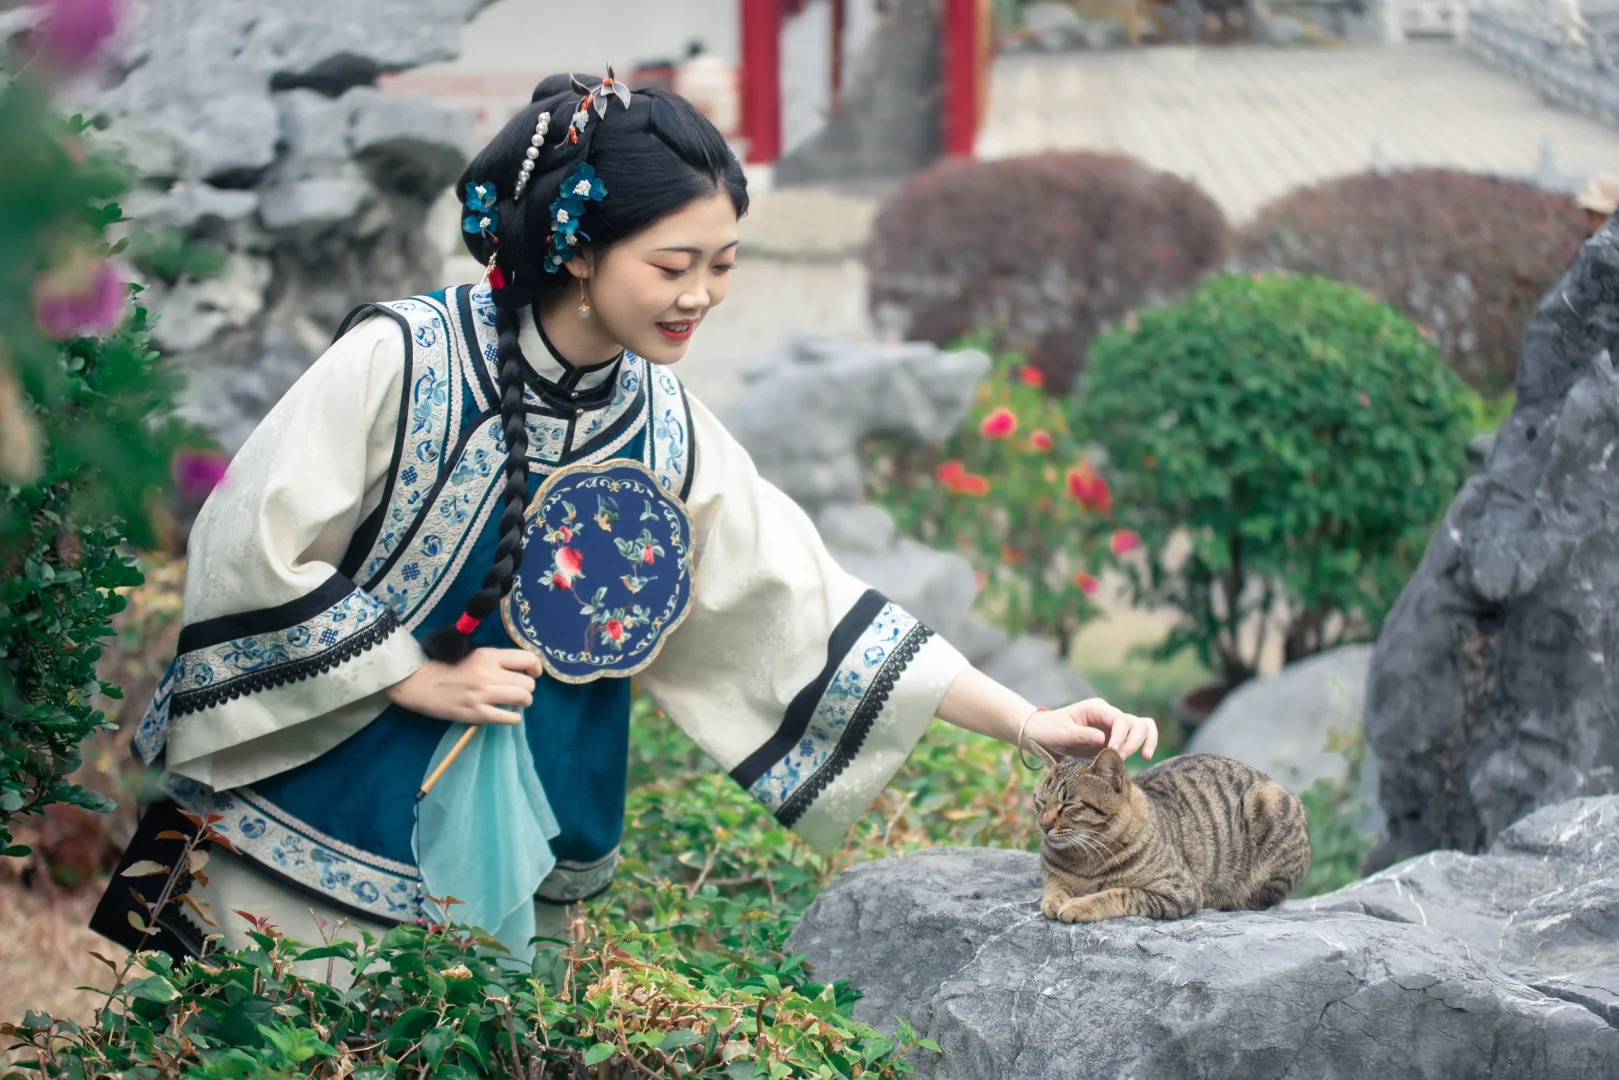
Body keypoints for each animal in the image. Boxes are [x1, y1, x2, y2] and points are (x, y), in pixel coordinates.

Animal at [1036, 748, 1314, 926]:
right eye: (1040, 801)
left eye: (1068, 805)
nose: (1043, 825)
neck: (1084, 860)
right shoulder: (1052, 875)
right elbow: (1055, 886)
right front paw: (1055, 899)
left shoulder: (1178, 891)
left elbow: (1119, 893)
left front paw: (1080, 905)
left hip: (1271, 807)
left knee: (1257, 900)